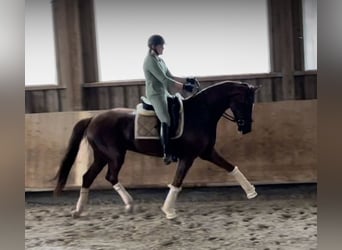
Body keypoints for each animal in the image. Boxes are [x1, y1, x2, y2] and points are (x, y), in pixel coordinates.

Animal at [53, 80, 260, 219]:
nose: (247, 128)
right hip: (114, 156)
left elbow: (230, 167)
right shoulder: (189, 156)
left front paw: (251, 192)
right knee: (110, 177)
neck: (201, 113)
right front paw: (168, 211)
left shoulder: (207, 152)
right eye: (245, 102)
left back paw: (80, 210)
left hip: (102, 156)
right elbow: (177, 181)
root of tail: (93, 118)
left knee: (88, 177)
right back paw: (128, 204)